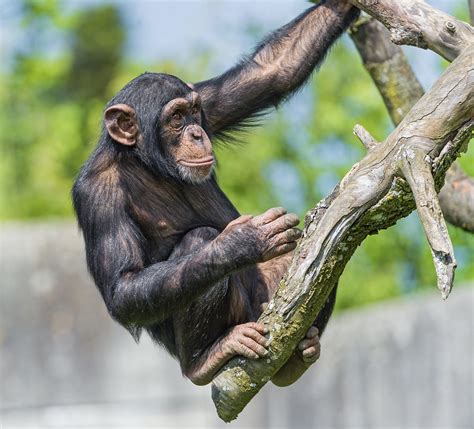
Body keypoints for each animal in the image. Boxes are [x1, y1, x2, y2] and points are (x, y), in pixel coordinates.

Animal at [72, 0, 358, 386]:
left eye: (193, 112)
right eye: (175, 119)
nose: (196, 133)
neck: (145, 162)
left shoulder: (210, 102)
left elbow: (273, 71)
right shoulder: (96, 197)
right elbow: (123, 287)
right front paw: (241, 242)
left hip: (262, 311)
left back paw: (297, 355)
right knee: (200, 241)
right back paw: (205, 359)